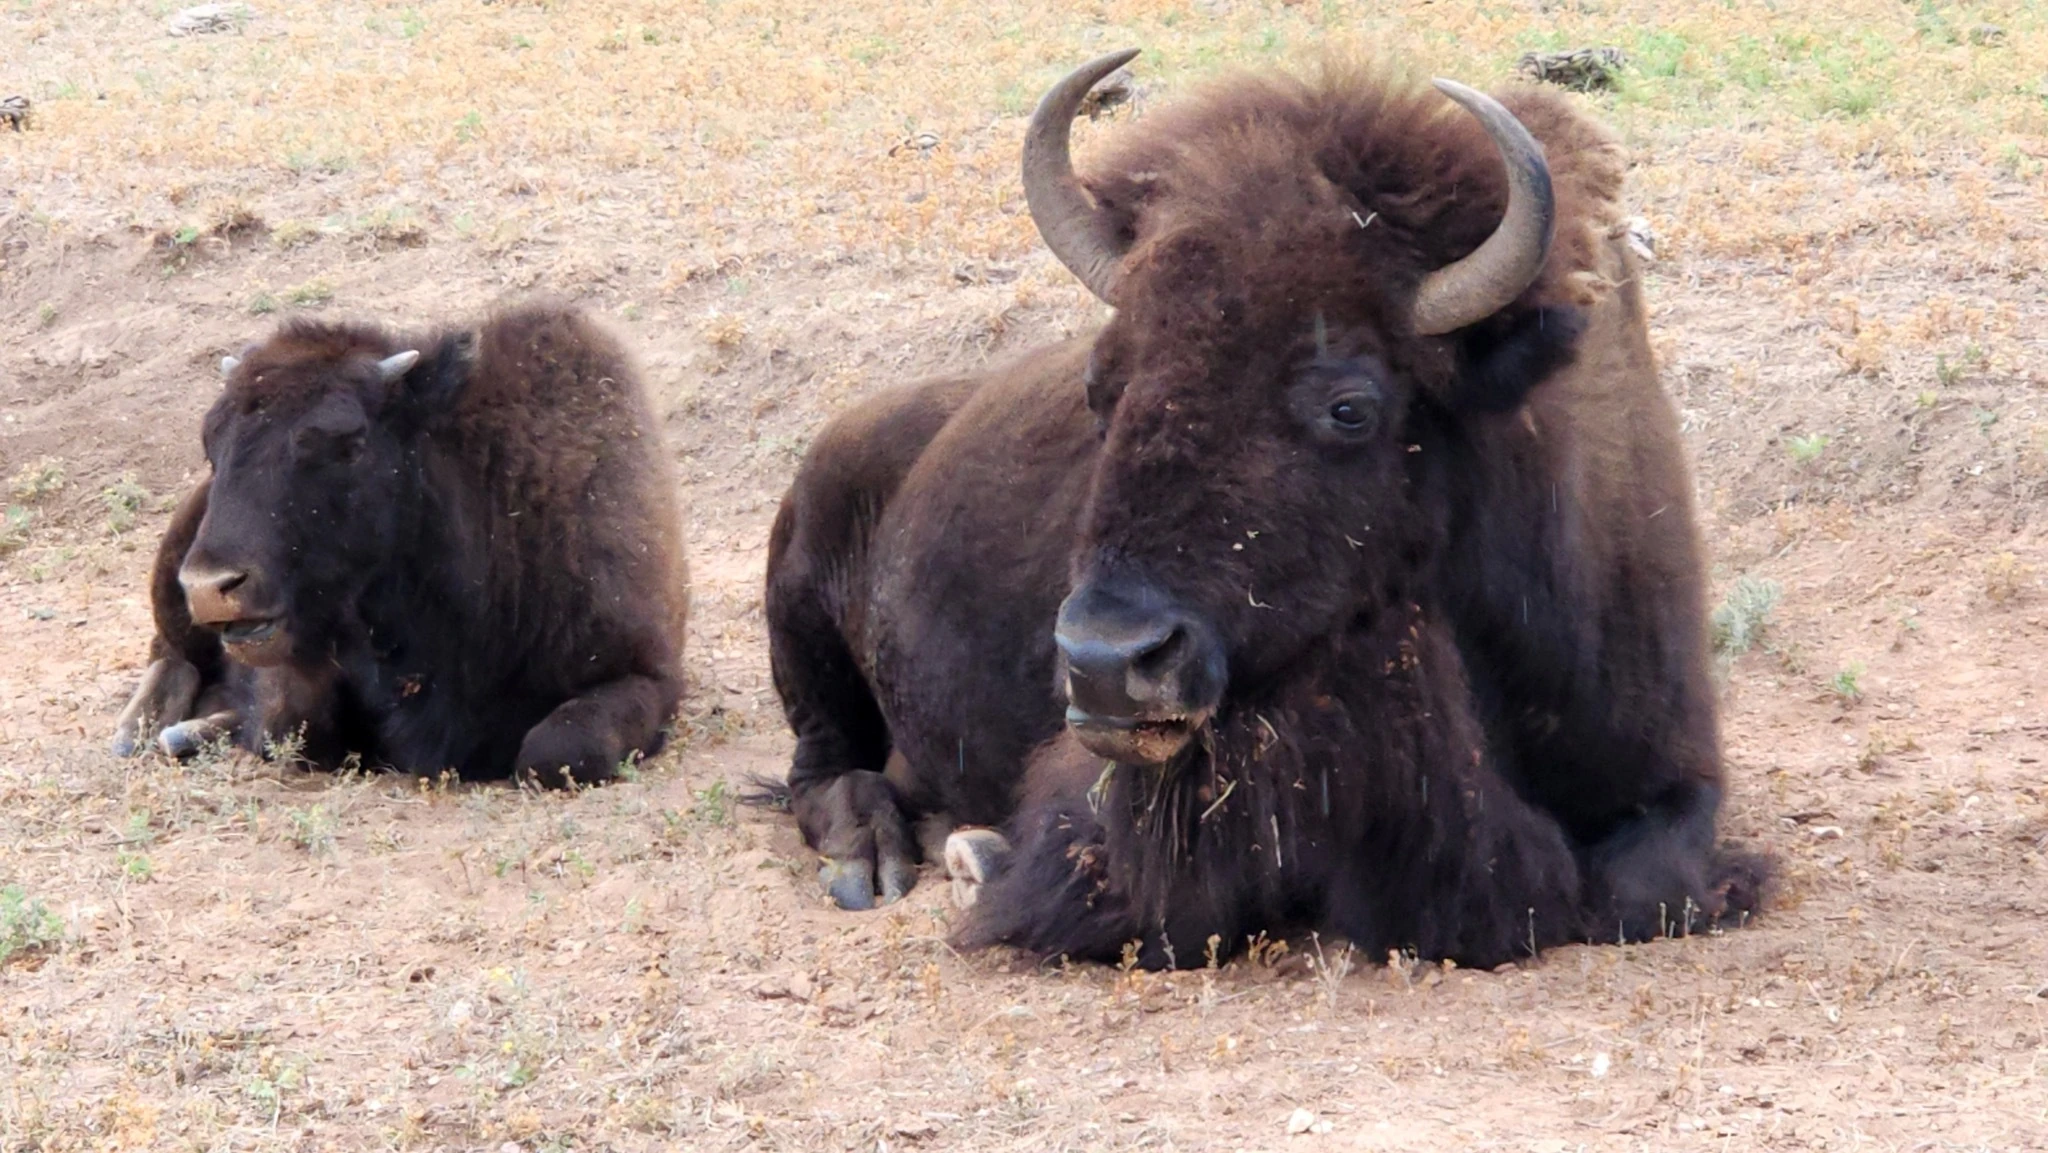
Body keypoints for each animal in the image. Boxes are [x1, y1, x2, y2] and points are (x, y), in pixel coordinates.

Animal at [111, 303, 689, 787]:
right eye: (213, 448)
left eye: (350, 444)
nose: (211, 586)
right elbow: (288, 728)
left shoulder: (645, 673)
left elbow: (558, 750)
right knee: (171, 654)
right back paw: (143, 732)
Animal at [762, 50, 1765, 966]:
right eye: (1100, 385)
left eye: (1349, 405)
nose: (1106, 663)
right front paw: (977, 855)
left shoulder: (1676, 767)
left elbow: (1646, 886)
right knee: (822, 763)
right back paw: (873, 856)